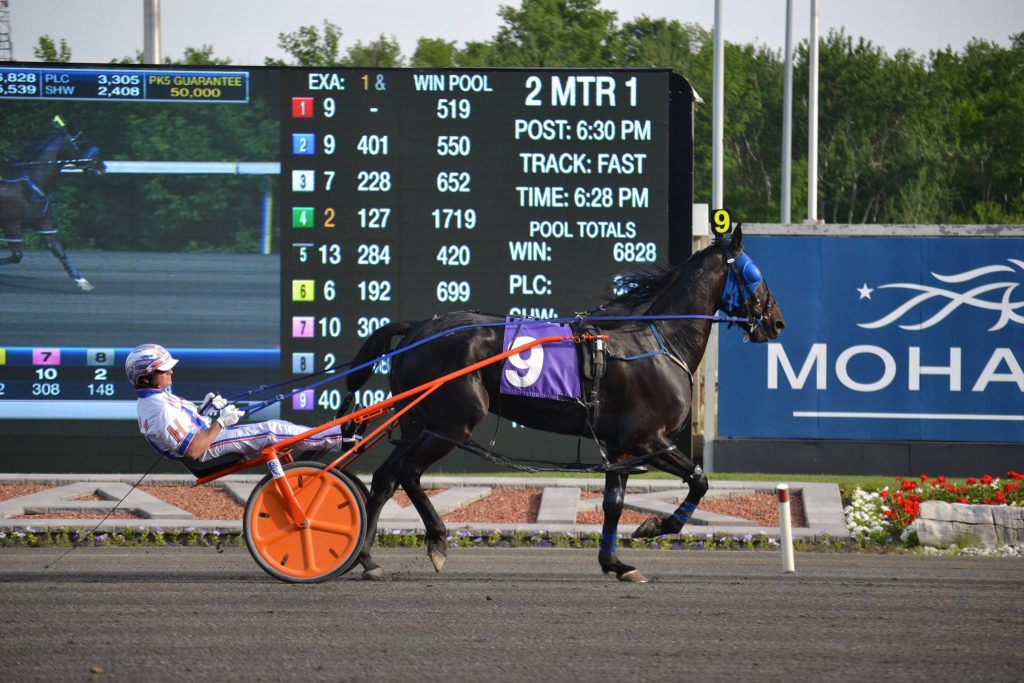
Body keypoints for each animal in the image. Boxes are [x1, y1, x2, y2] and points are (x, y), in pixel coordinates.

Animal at [0, 117, 106, 291]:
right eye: (83, 142)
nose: (102, 166)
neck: (28, 185)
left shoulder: (43, 222)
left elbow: (58, 250)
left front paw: (82, 281)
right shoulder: (10, 223)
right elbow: (17, 255)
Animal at [343, 225, 785, 582]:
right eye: (754, 273)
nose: (777, 321)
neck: (658, 340)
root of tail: (418, 327)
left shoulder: (619, 446)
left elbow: (613, 503)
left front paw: (616, 563)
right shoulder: (649, 439)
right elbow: (699, 480)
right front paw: (654, 528)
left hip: (418, 423)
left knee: (385, 478)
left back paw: (368, 559)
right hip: (452, 423)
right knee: (407, 470)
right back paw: (435, 541)